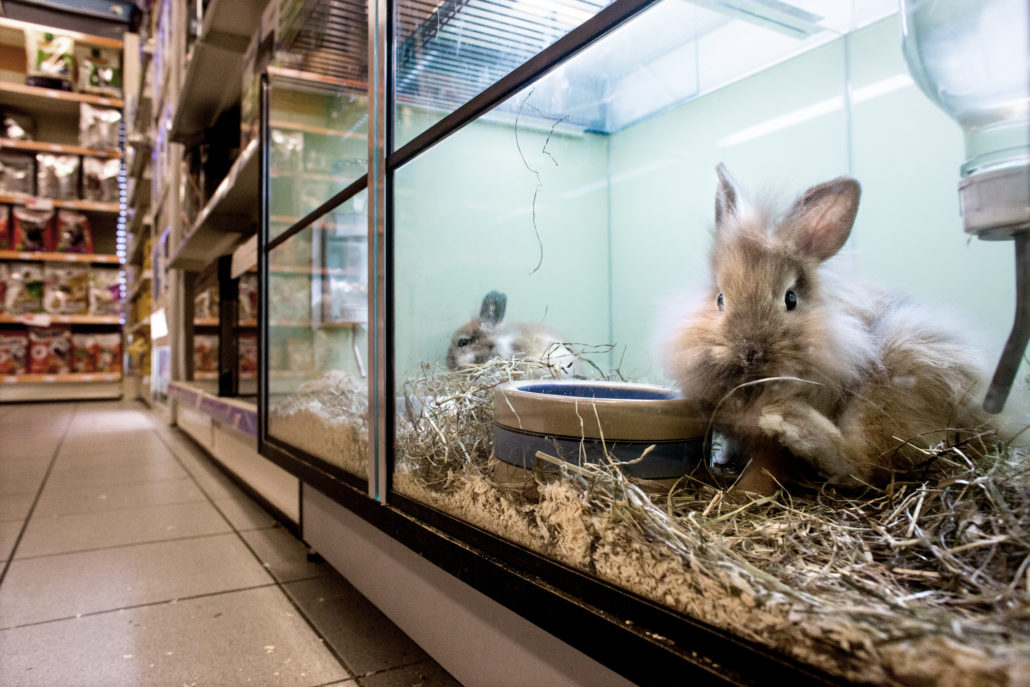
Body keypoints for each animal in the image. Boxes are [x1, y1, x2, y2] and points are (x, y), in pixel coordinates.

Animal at [663, 163, 1001, 492]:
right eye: (720, 298)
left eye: (791, 298)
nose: (751, 353)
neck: (751, 386)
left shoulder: (773, 450)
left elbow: (765, 469)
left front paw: (743, 494)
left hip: (892, 385)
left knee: (862, 467)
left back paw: (791, 422)